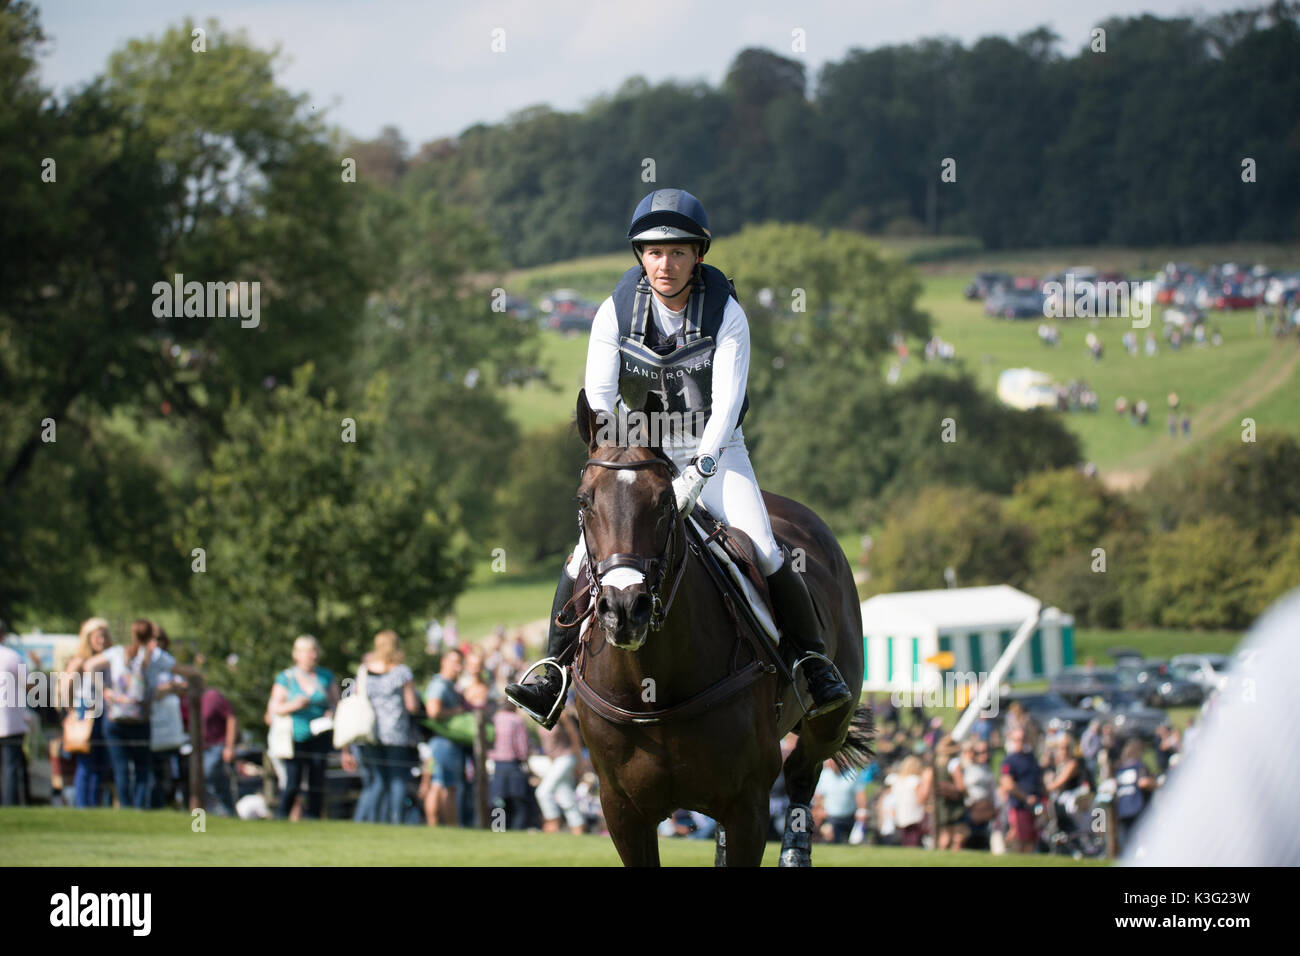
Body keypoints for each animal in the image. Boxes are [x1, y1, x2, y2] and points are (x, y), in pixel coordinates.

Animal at [572, 392, 868, 868]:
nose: (624, 610)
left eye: (664, 502)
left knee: (803, 772)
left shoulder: (748, 804)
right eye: (584, 501)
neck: (653, 685)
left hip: (831, 720)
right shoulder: (622, 811)